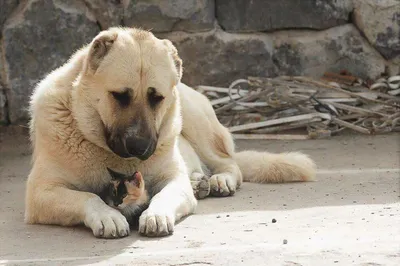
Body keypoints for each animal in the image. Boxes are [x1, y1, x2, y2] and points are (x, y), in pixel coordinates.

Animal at [26, 27, 318, 239]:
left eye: (157, 98)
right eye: (119, 96)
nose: (140, 148)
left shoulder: (173, 180)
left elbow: (164, 194)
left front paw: (156, 215)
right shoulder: (41, 193)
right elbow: (88, 197)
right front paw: (107, 215)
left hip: (194, 118)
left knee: (229, 163)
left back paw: (219, 180)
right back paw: (200, 182)